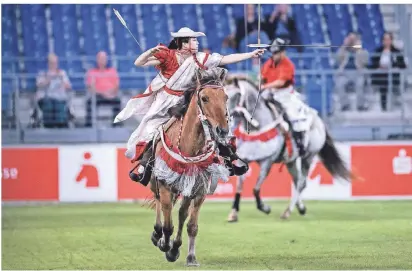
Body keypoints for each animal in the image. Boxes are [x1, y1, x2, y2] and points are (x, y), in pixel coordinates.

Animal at [146, 68, 237, 268]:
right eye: (204, 98)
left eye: (225, 97)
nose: (222, 130)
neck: (189, 147)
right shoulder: (165, 184)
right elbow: (167, 224)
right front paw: (165, 244)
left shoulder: (199, 190)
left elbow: (191, 225)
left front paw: (187, 255)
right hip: (156, 183)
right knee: (160, 205)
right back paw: (158, 236)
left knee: (181, 213)